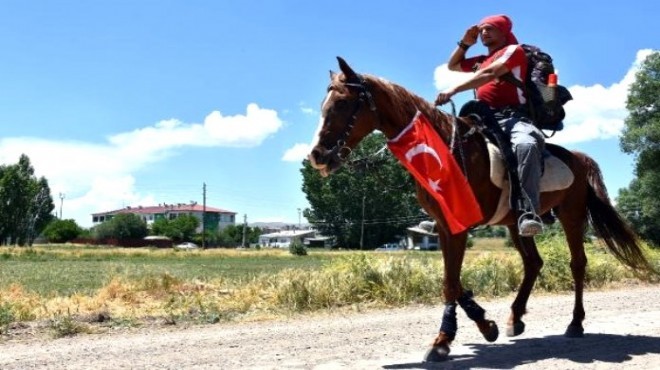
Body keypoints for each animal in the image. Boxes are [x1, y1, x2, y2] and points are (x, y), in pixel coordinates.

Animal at [308, 57, 656, 362]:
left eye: (343, 103)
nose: (317, 155)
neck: (446, 150)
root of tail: (579, 158)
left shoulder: (459, 224)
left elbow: (451, 282)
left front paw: (443, 341)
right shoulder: (445, 225)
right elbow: (452, 279)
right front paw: (485, 326)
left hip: (571, 216)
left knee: (577, 264)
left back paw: (575, 323)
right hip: (517, 224)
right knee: (533, 263)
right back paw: (515, 318)